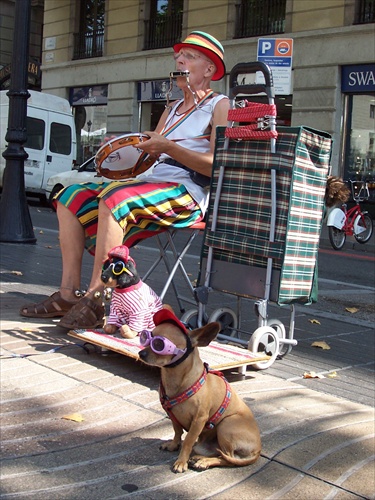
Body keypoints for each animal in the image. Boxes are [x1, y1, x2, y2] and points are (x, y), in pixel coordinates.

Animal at [138, 308, 262, 472]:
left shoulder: (199, 419)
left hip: (226, 425)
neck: (175, 379)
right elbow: (177, 432)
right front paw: (173, 445)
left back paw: (204, 462)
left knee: (227, 458)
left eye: (158, 344)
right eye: (146, 337)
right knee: (217, 453)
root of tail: (258, 450)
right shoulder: (173, 416)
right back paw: (199, 458)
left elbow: (188, 440)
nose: (141, 353)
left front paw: (181, 461)